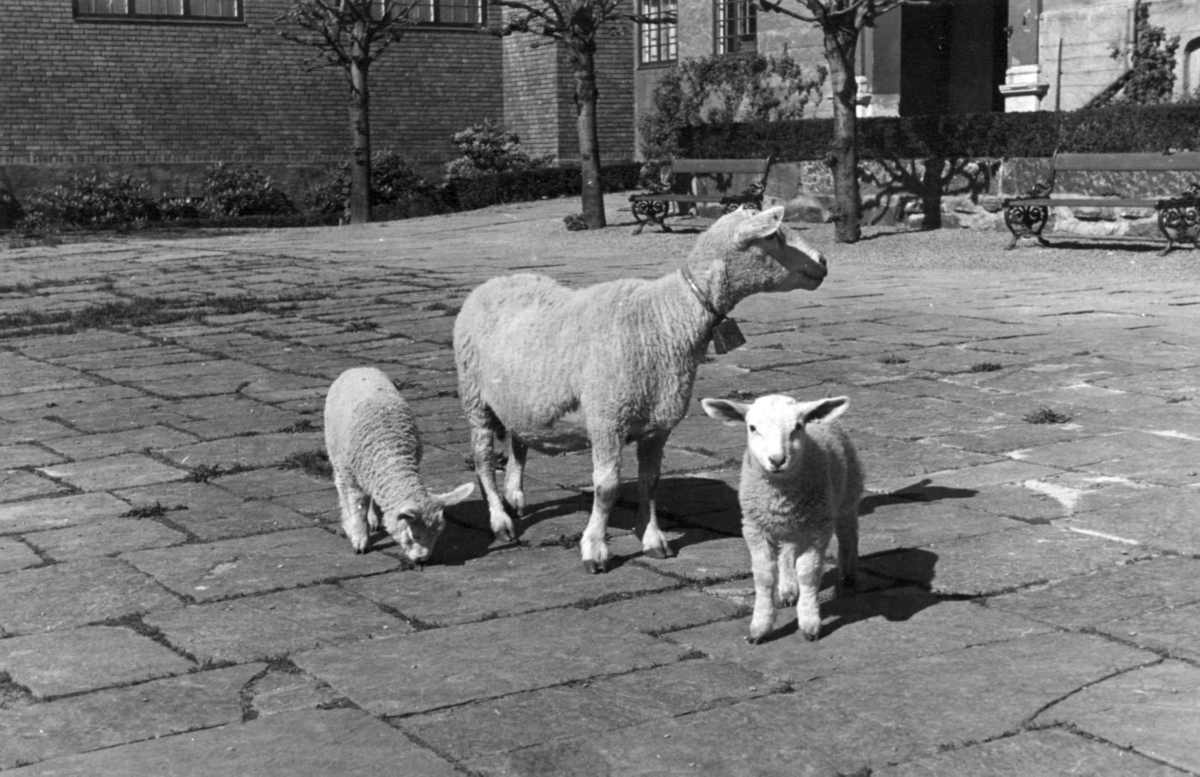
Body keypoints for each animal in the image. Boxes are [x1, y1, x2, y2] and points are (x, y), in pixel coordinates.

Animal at [328, 366, 477, 561]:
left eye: (438, 534)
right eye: (415, 535)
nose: (423, 560)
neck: (391, 455)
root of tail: (358, 368)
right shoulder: (355, 481)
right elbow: (358, 509)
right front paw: (359, 540)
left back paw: (374, 519)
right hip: (337, 455)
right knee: (341, 488)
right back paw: (349, 523)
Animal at [453, 205, 830, 570]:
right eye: (775, 235)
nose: (824, 262)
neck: (667, 316)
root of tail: (497, 281)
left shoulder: (657, 424)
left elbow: (651, 481)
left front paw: (652, 539)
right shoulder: (607, 418)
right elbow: (606, 487)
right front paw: (595, 549)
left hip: (519, 399)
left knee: (519, 443)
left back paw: (515, 498)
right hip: (474, 397)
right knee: (483, 459)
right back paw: (500, 521)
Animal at [700, 395, 864, 642]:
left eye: (797, 426)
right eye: (752, 428)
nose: (777, 460)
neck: (780, 495)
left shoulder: (817, 528)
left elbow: (808, 573)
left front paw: (809, 623)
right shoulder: (755, 528)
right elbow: (764, 575)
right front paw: (760, 626)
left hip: (848, 493)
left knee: (849, 534)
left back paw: (849, 574)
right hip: (791, 526)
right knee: (787, 553)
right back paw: (788, 589)